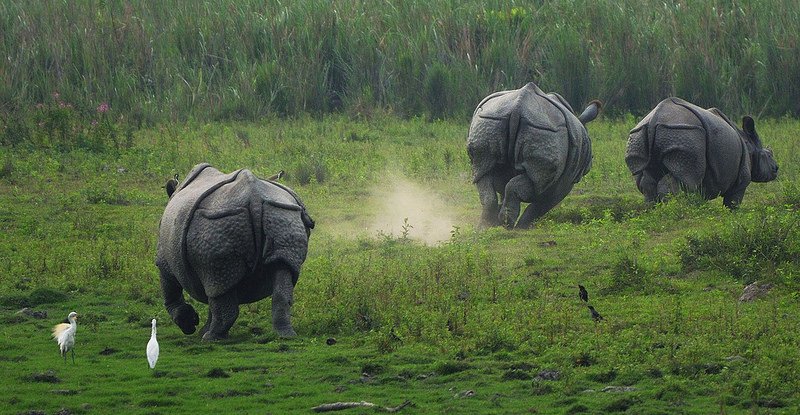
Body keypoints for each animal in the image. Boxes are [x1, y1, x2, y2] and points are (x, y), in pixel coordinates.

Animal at [156, 163, 314, 340]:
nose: (191, 326)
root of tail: (254, 198)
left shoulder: (164, 260)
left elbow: (170, 289)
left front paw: (190, 325)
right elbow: (216, 296)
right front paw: (198, 327)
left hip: (216, 221)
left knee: (216, 277)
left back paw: (210, 338)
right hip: (282, 215)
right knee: (282, 269)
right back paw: (286, 335)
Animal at [467, 82, 602, 228]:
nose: (591, 160)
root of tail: (517, 108)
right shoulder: (566, 181)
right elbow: (542, 205)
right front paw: (522, 229)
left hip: (489, 121)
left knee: (482, 172)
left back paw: (485, 227)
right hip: (546, 132)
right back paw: (508, 225)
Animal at [625, 97, 778, 208]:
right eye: (769, 155)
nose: (776, 168)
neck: (750, 145)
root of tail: (653, 120)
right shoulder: (741, 178)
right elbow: (733, 201)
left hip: (639, 136)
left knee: (647, 180)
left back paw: (654, 210)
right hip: (685, 133)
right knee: (685, 180)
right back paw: (677, 209)